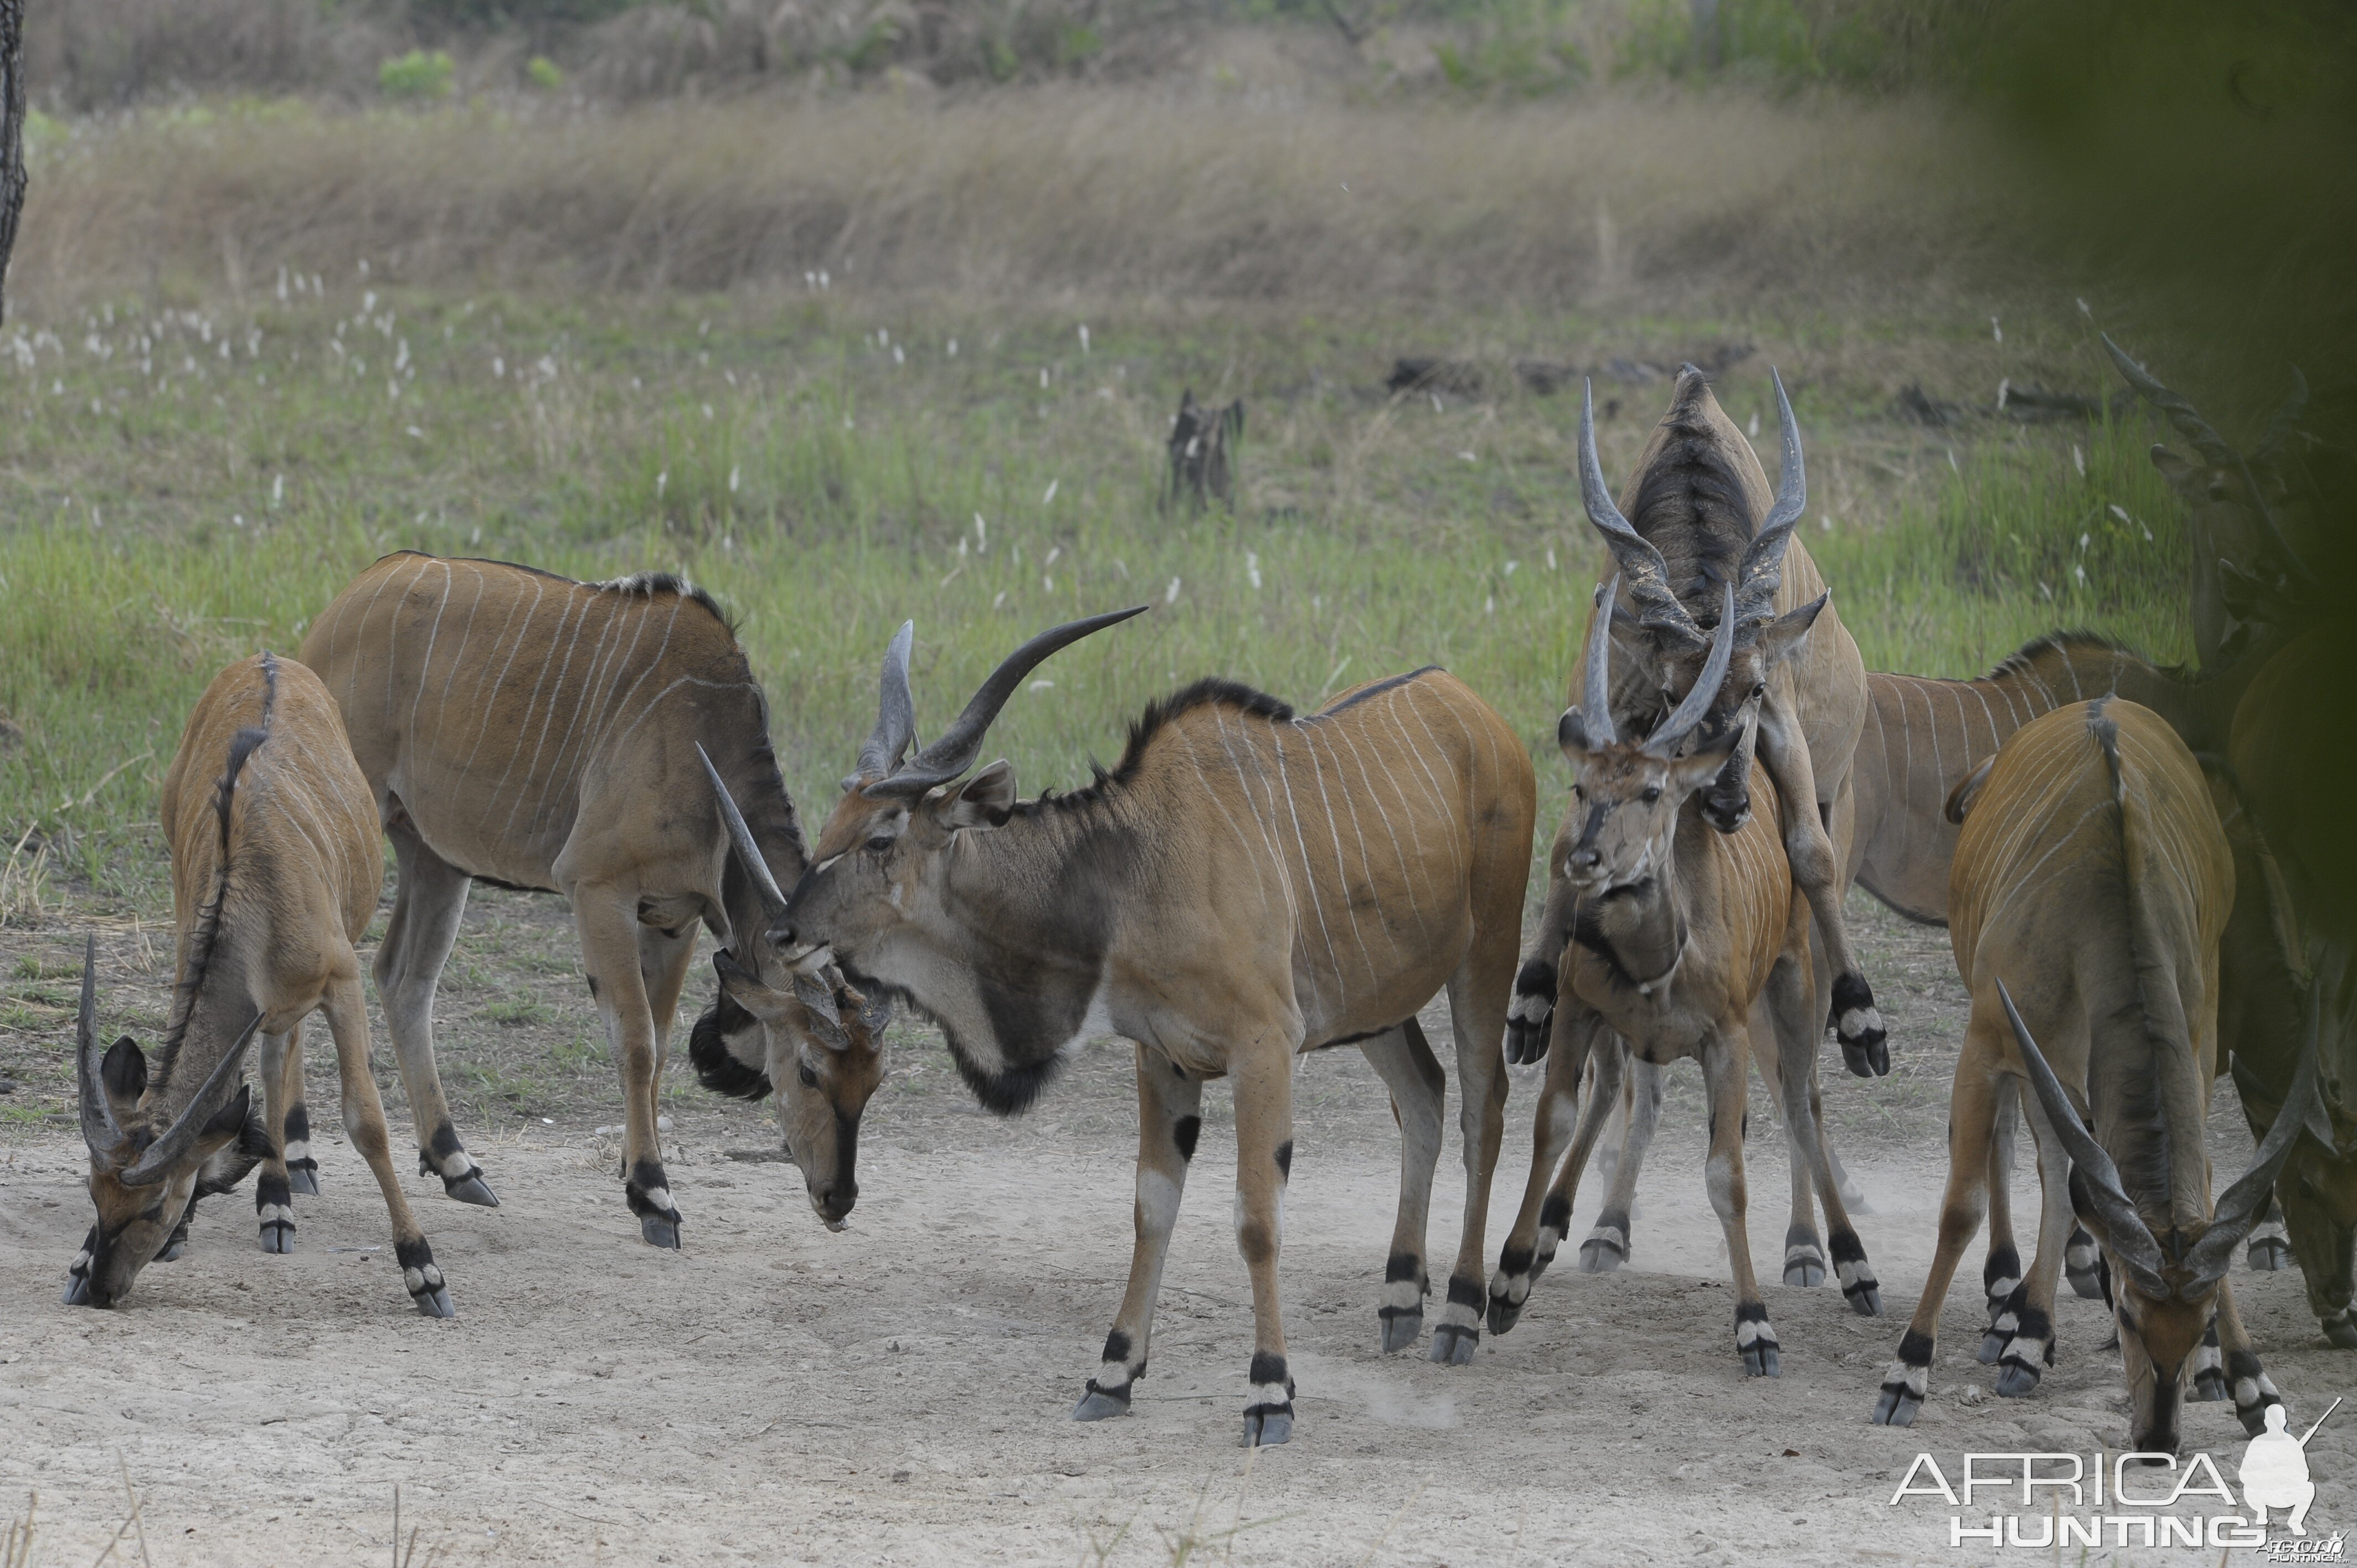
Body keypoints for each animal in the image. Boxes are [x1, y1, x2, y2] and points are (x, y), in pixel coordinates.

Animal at [65, 655, 459, 1311]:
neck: (253, 878)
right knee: (276, 1056)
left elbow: (367, 1123)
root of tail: (269, 658)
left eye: (153, 1206)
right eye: (95, 1196)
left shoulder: (343, 981)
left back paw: (280, 1202)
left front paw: (423, 1271)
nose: (100, 1290)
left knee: (280, 1059)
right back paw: (276, 1198)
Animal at [744, 604, 1536, 1433]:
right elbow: (1151, 1209)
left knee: (1483, 1112)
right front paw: (1113, 1373)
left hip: (1486, 957)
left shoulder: (1264, 1047)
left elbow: (1257, 1219)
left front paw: (1269, 1390)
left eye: (880, 839)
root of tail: (1477, 708)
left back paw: (1461, 1311)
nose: (782, 933)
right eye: (829, 826)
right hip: (1375, 1008)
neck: (1135, 872)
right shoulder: (1164, 1060)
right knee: (1423, 1094)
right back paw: (1401, 1297)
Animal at [1876, 698, 2319, 1452]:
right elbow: (1962, 1205)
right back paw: (2013, 1326)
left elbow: (2197, 1187)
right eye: (2128, 1318)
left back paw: (2028, 1335)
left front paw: (2249, 1382)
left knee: (2065, 1173)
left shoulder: (2196, 1046)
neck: (2106, 898)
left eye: (2200, 1322)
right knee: (2028, 1160)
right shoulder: (1987, 1041)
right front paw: (1907, 1372)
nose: (2157, 1438)